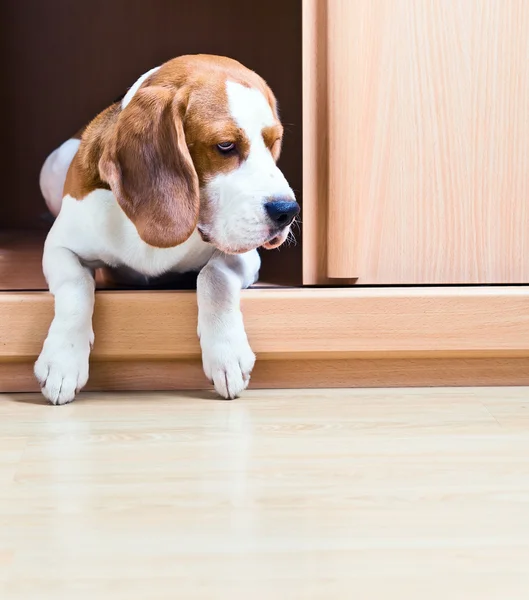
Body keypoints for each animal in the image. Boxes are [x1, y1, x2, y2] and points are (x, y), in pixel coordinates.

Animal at [37, 54, 300, 406]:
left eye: (273, 143)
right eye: (225, 145)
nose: (288, 211)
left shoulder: (247, 255)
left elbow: (214, 276)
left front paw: (226, 352)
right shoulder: (59, 247)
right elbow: (77, 284)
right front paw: (63, 359)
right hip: (53, 164)